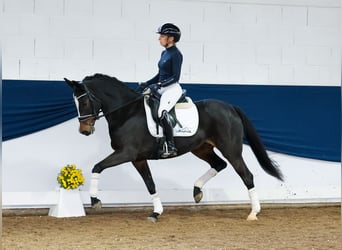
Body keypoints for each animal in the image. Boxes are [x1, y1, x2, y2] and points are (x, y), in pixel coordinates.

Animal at [65, 73, 284, 222]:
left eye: (85, 101)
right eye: (75, 102)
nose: (84, 130)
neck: (127, 113)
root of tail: (230, 107)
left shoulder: (126, 153)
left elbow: (97, 167)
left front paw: (95, 201)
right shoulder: (138, 158)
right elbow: (150, 184)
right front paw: (156, 212)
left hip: (231, 149)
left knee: (246, 175)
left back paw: (253, 213)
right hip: (201, 148)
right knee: (219, 164)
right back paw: (197, 191)